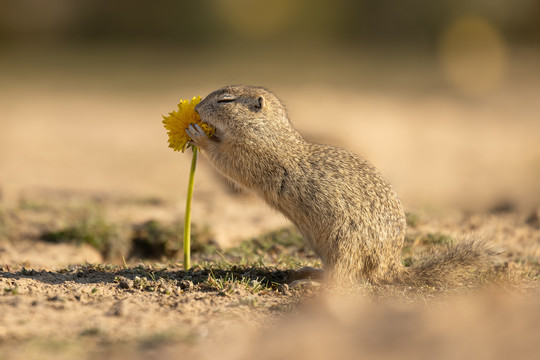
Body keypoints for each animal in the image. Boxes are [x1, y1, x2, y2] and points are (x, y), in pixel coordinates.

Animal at [187, 86, 498, 286]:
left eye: (226, 100)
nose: (196, 108)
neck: (268, 133)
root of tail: (391, 267)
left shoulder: (251, 155)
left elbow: (226, 160)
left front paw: (197, 134)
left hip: (344, 246)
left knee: (345, 279)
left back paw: (310, 283)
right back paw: (307, 272)